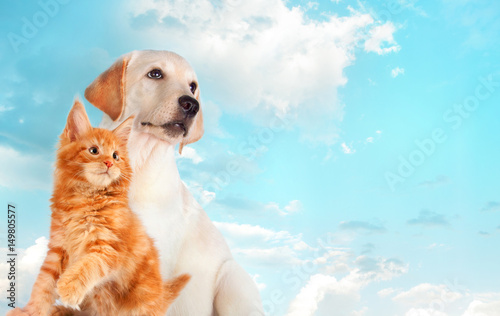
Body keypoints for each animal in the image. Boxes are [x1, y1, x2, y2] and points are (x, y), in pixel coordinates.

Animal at [8, 101, 190, 316]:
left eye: (116, 156)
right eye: (94, 150)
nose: (110, 163)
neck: (85, 198)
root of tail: (161, 296)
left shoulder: (110, 248)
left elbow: (89, 265)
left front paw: (69, 287)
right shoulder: (58, 247)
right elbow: (42, 285)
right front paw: (30, 311)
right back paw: (60, 310)